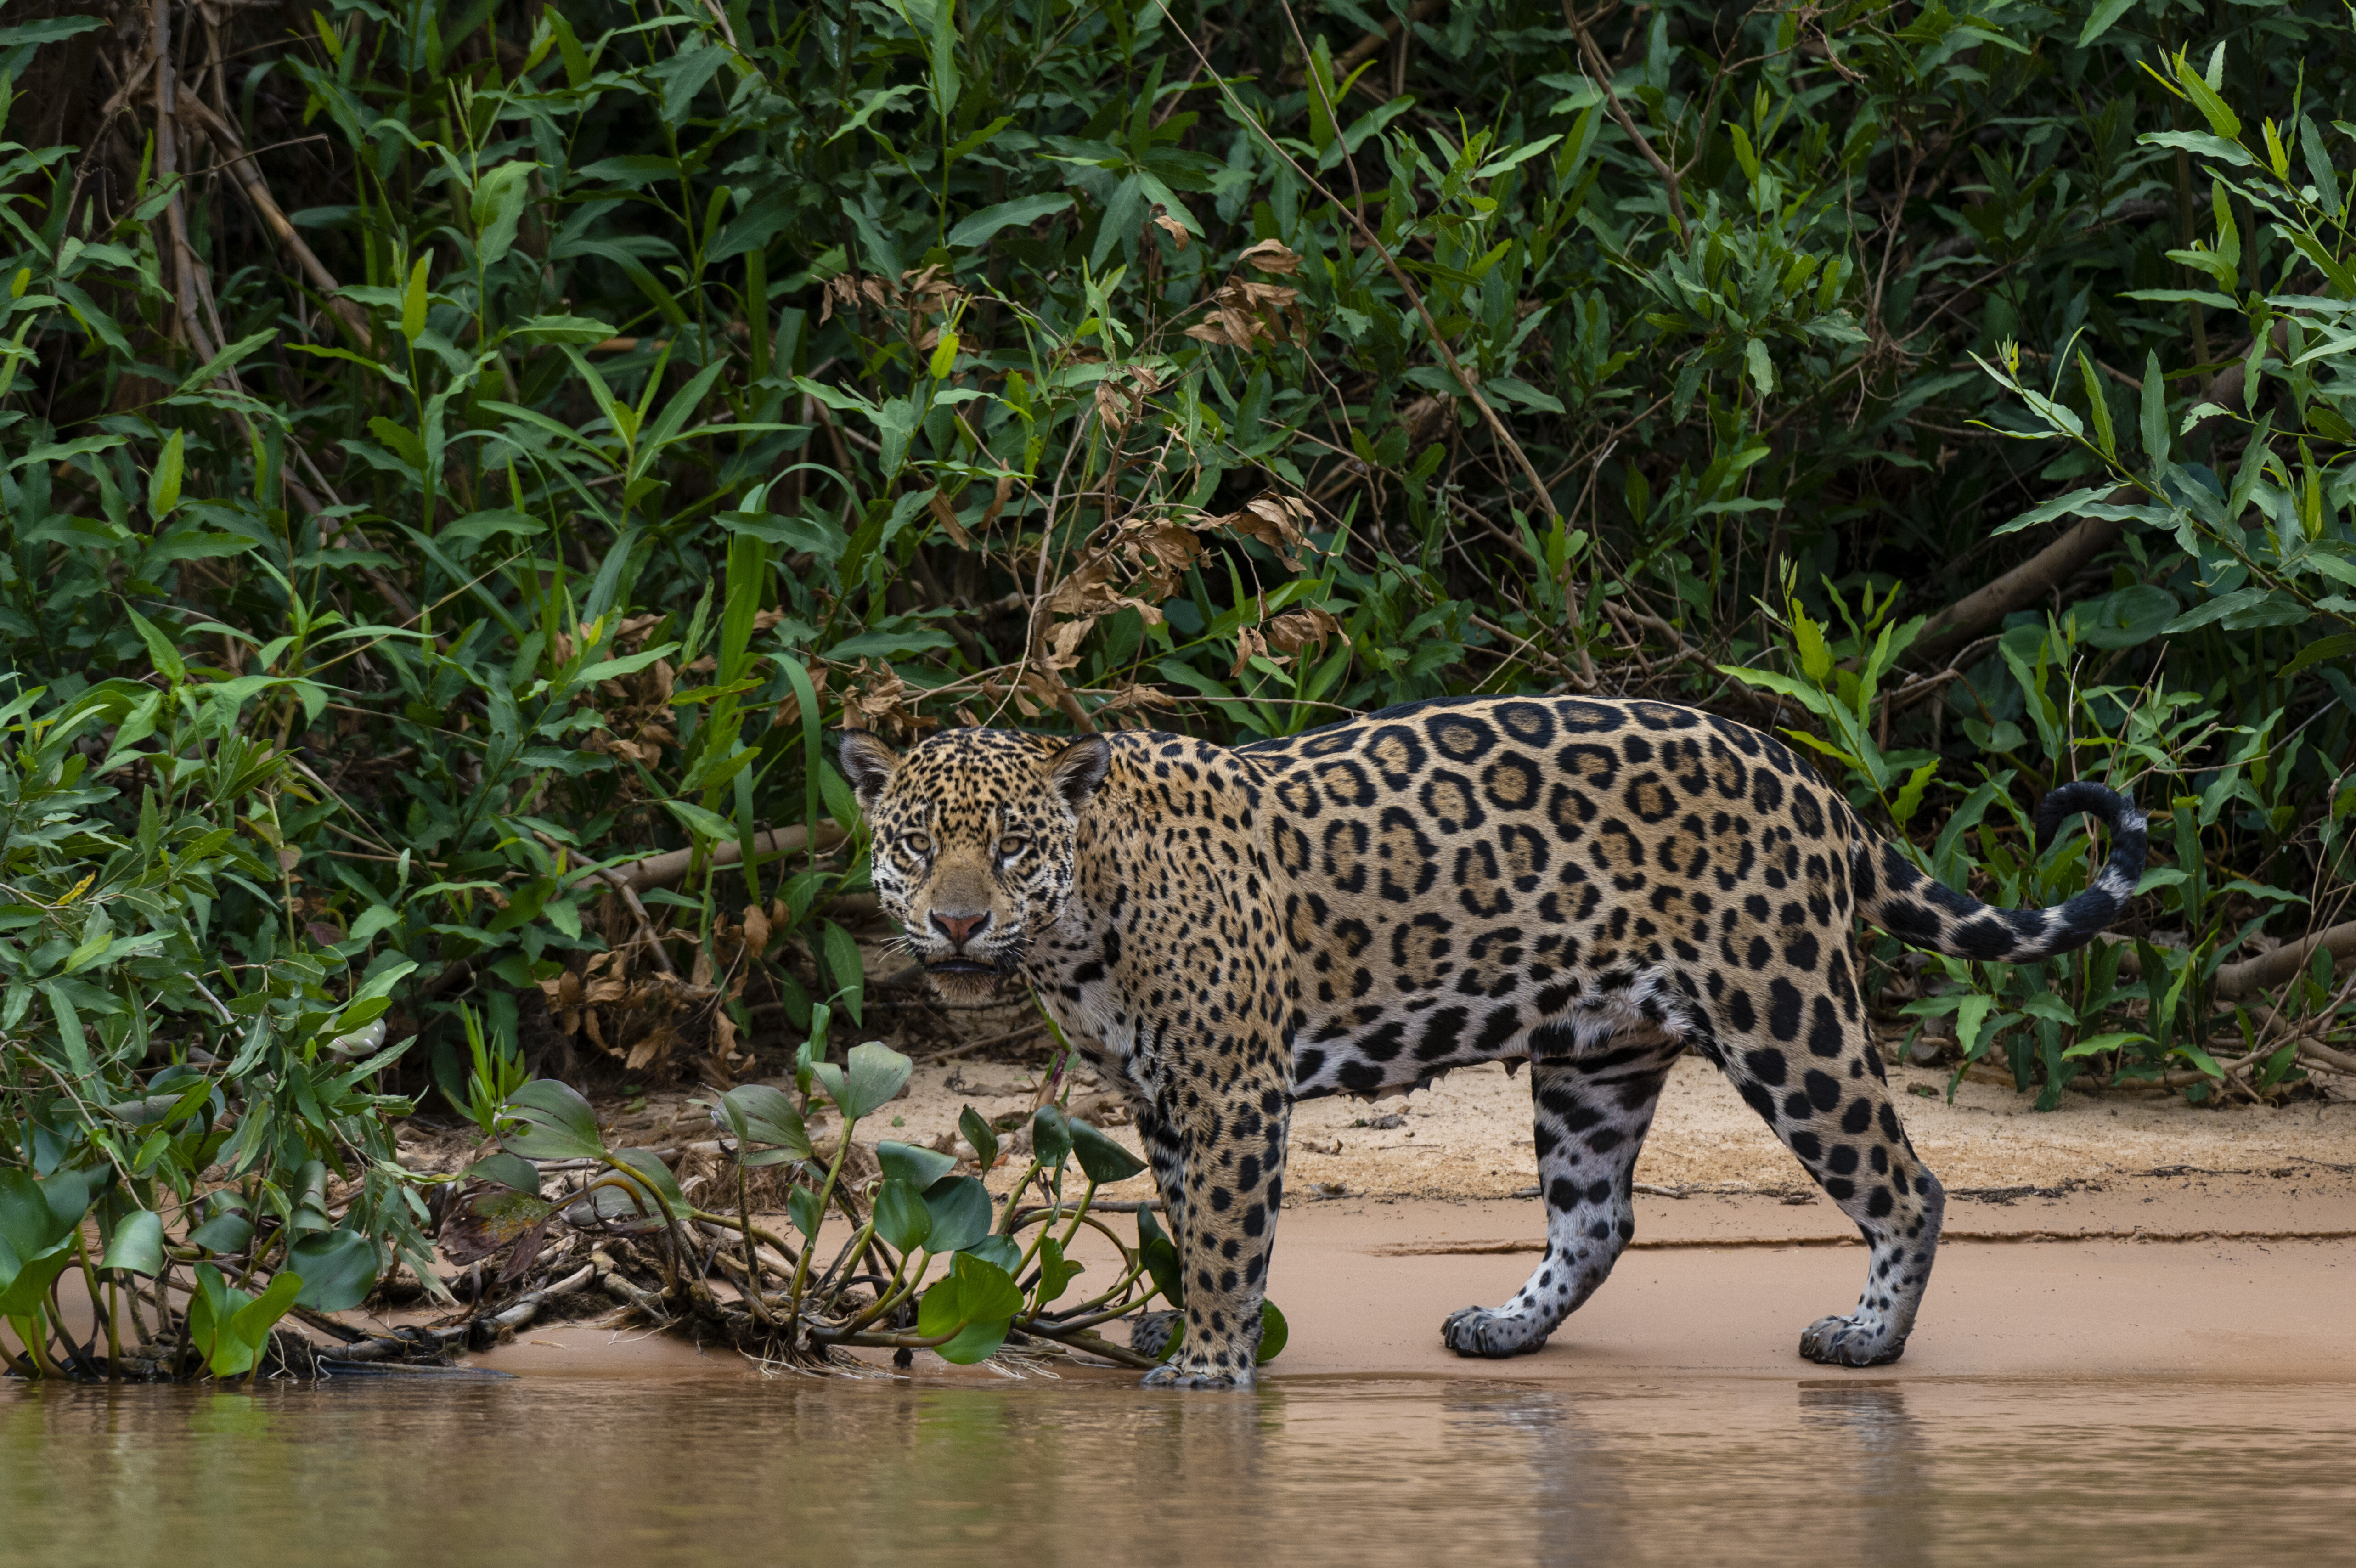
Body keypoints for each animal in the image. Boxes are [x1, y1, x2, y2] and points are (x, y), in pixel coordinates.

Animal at [838, 695, 2144, 1390]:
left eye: (1012, 846)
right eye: (915, 844)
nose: (958, 924)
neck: (1085, 915)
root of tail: (1811, 783)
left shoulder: (1231, 1088)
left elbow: (1223, 1234)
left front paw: (1209, 1363)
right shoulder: (1165, 1099)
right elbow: (1192, 1221)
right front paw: (1193, 1326)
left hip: (1788, 1018)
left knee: (1907, 1182)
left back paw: (1867, 1336)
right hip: (1595, 1057)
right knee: (1598, 1217)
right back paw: (1504, 1326)